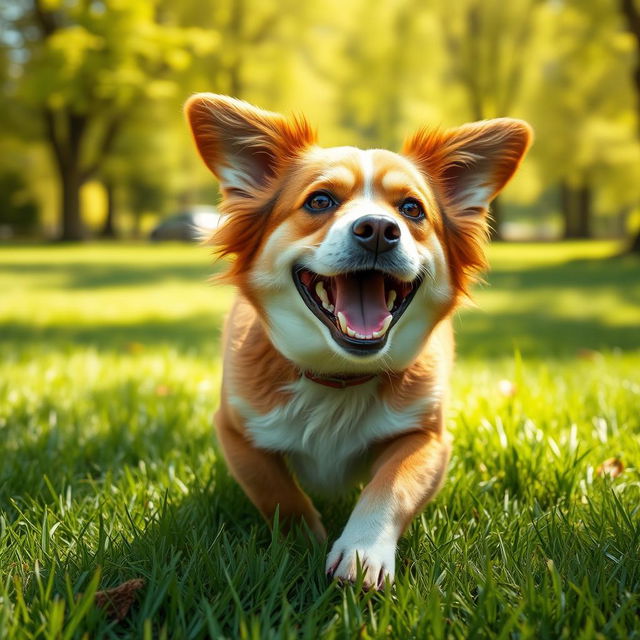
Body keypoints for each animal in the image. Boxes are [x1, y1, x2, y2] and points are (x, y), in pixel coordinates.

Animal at [184, 92, 528, 588]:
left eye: (411, 209)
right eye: (319, 201)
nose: (379, 229)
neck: (341, 376)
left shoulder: (427, 437)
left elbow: (392, 485)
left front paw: (362, 551)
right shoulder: (236, 431)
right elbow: (277, 493)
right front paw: (303, 542)